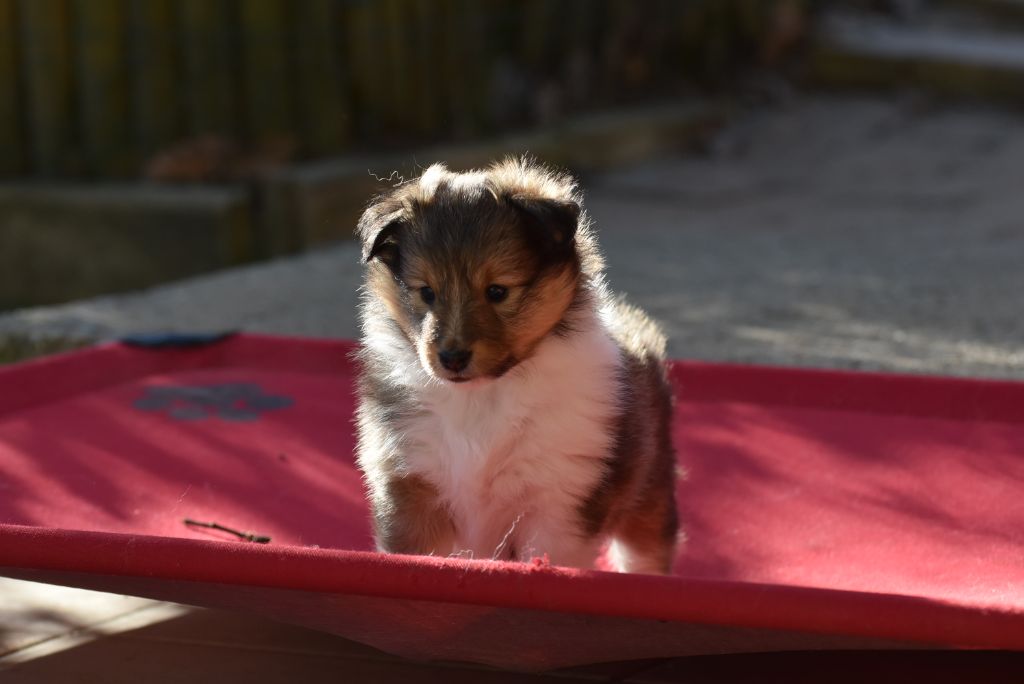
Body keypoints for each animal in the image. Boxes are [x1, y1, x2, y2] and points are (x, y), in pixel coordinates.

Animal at [354, 158, 678, 574]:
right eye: (426, 292)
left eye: (497, 291)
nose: (452, 358)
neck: (482, 397)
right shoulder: (411, 487)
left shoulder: (556, 505)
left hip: (650, 492)